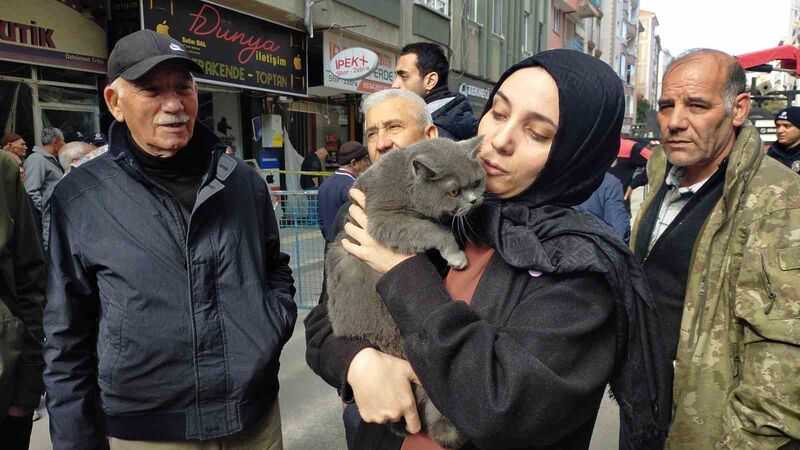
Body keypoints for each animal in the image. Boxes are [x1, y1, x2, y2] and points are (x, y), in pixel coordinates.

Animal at [326, 135, 488, 448]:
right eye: (453, 192)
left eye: (477, 182)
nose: (475, 201)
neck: (406, 185)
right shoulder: (383, 219)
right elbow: (435, 231)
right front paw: (456, 256)